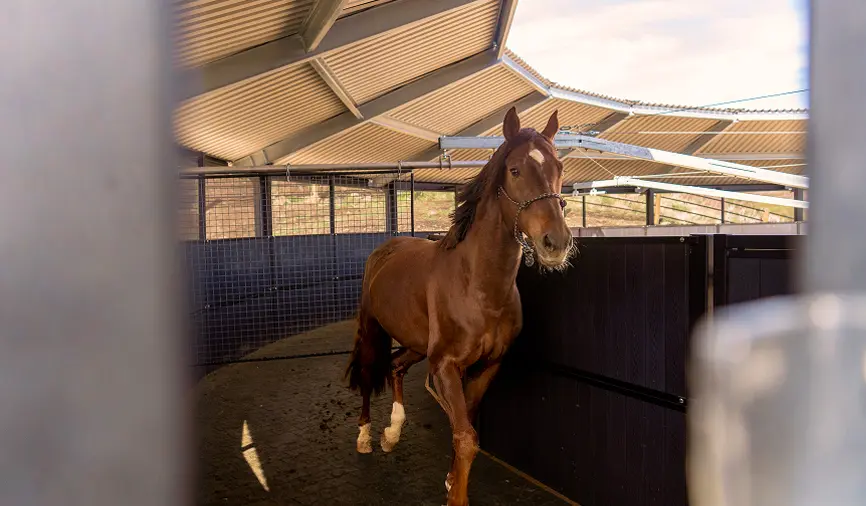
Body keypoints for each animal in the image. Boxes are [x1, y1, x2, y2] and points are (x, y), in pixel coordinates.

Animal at [345, 106, 574, 506]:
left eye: (559, 167)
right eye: (515, 170)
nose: (555, 243)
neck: (478, 288)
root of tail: (385, 249)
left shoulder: (486, 366)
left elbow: (465, 425)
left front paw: (452, 480)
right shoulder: (446, 366)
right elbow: (465, 437)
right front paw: (456, 493)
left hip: (417, 345)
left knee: (396, 367)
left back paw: (391, 434)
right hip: (373, 329)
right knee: (369, 371)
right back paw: (364, 438)